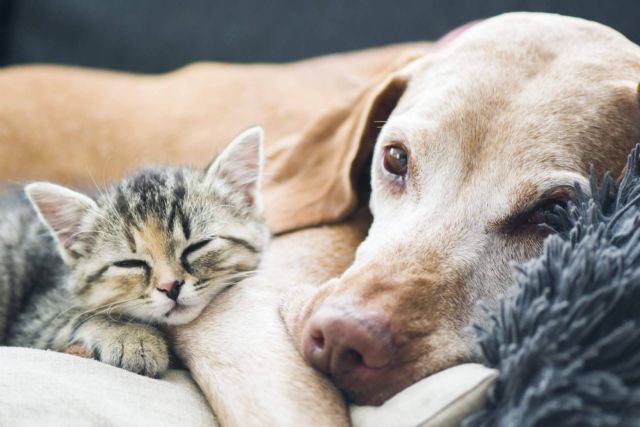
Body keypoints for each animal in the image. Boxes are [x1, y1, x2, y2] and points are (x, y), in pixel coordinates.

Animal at [0, 127, 268, 378]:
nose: (170, 286)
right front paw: (132, 338)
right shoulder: (33, 320)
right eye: (130, 263)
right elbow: (81, 314)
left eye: (197, 246)